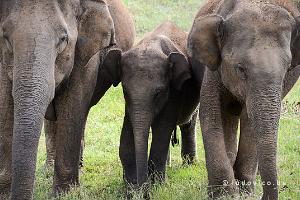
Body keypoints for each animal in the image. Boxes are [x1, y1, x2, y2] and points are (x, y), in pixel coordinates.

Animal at [0, 0, 134, 199]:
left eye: (63, 39)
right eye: (6, 37)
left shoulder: (87, 50)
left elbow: (74, 101)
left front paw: (65, 194)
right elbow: (4, 100)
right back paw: (48, 170)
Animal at [102, 21, 203, 192]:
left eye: (158, 93)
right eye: (125, 91)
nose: (144, 190)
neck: (151, 44)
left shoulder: (175, 92)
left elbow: (162, 130)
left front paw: (156, 187)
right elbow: (127, 132)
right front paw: (131, 187)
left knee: (188, 124)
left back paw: (189, 165)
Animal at [189, 0, 300, 199]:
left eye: (288, 68)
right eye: (240, 69)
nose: (263, 195)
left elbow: (250, 122)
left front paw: (245, 192)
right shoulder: (214, 67)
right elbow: (210, 112)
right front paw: (224, 194)